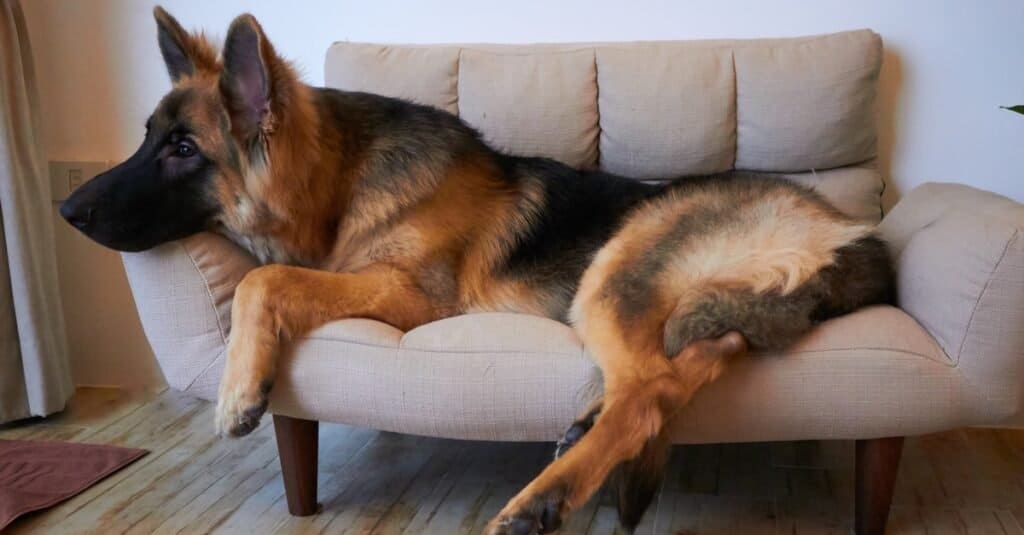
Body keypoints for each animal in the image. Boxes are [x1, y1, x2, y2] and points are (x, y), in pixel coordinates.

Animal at [64, 7, 892, 528]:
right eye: (147, 136)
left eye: (183, 150)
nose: (67, 208)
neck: (342, 182)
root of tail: (849, 230)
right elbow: (270, 276)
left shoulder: (410, 296)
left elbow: (261, 279)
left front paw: (241, 391)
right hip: (689, 303)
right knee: (687, 362)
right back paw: (585, 426)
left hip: (611, 269)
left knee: (649, 391)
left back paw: (544, 499)